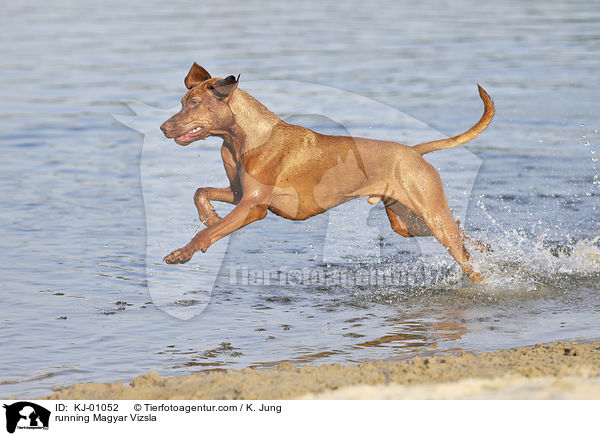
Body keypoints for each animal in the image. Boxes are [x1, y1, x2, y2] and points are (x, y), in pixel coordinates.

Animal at [159, 63, 492, 282]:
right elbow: (200, 193)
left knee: (463, 254)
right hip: (409, 222)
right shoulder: (239, 193)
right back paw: (485, 248)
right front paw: (209, 214)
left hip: (431, 215)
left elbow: (208, 233)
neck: (242, 138)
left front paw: (183, 252)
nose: (163, 127)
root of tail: (413, 151)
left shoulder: (253, 206)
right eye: (182, 102)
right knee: (462, 232)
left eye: (195, 103)